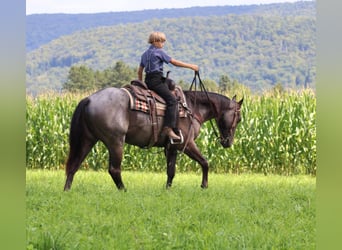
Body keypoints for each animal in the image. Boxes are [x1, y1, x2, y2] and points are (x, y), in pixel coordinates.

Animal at [62, 86, 243, 191]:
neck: (192, 108)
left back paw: (67, 190)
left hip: (87, 140)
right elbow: (205, 162)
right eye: (239, 118)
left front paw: (167, 190)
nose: (228, 142)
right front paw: (204, 186)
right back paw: (124, 190)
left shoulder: (172, 147)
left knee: (74, 166)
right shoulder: (186, 144)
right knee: (114, 169)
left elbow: (171, 171)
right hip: (115, 142)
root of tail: (89, 99)